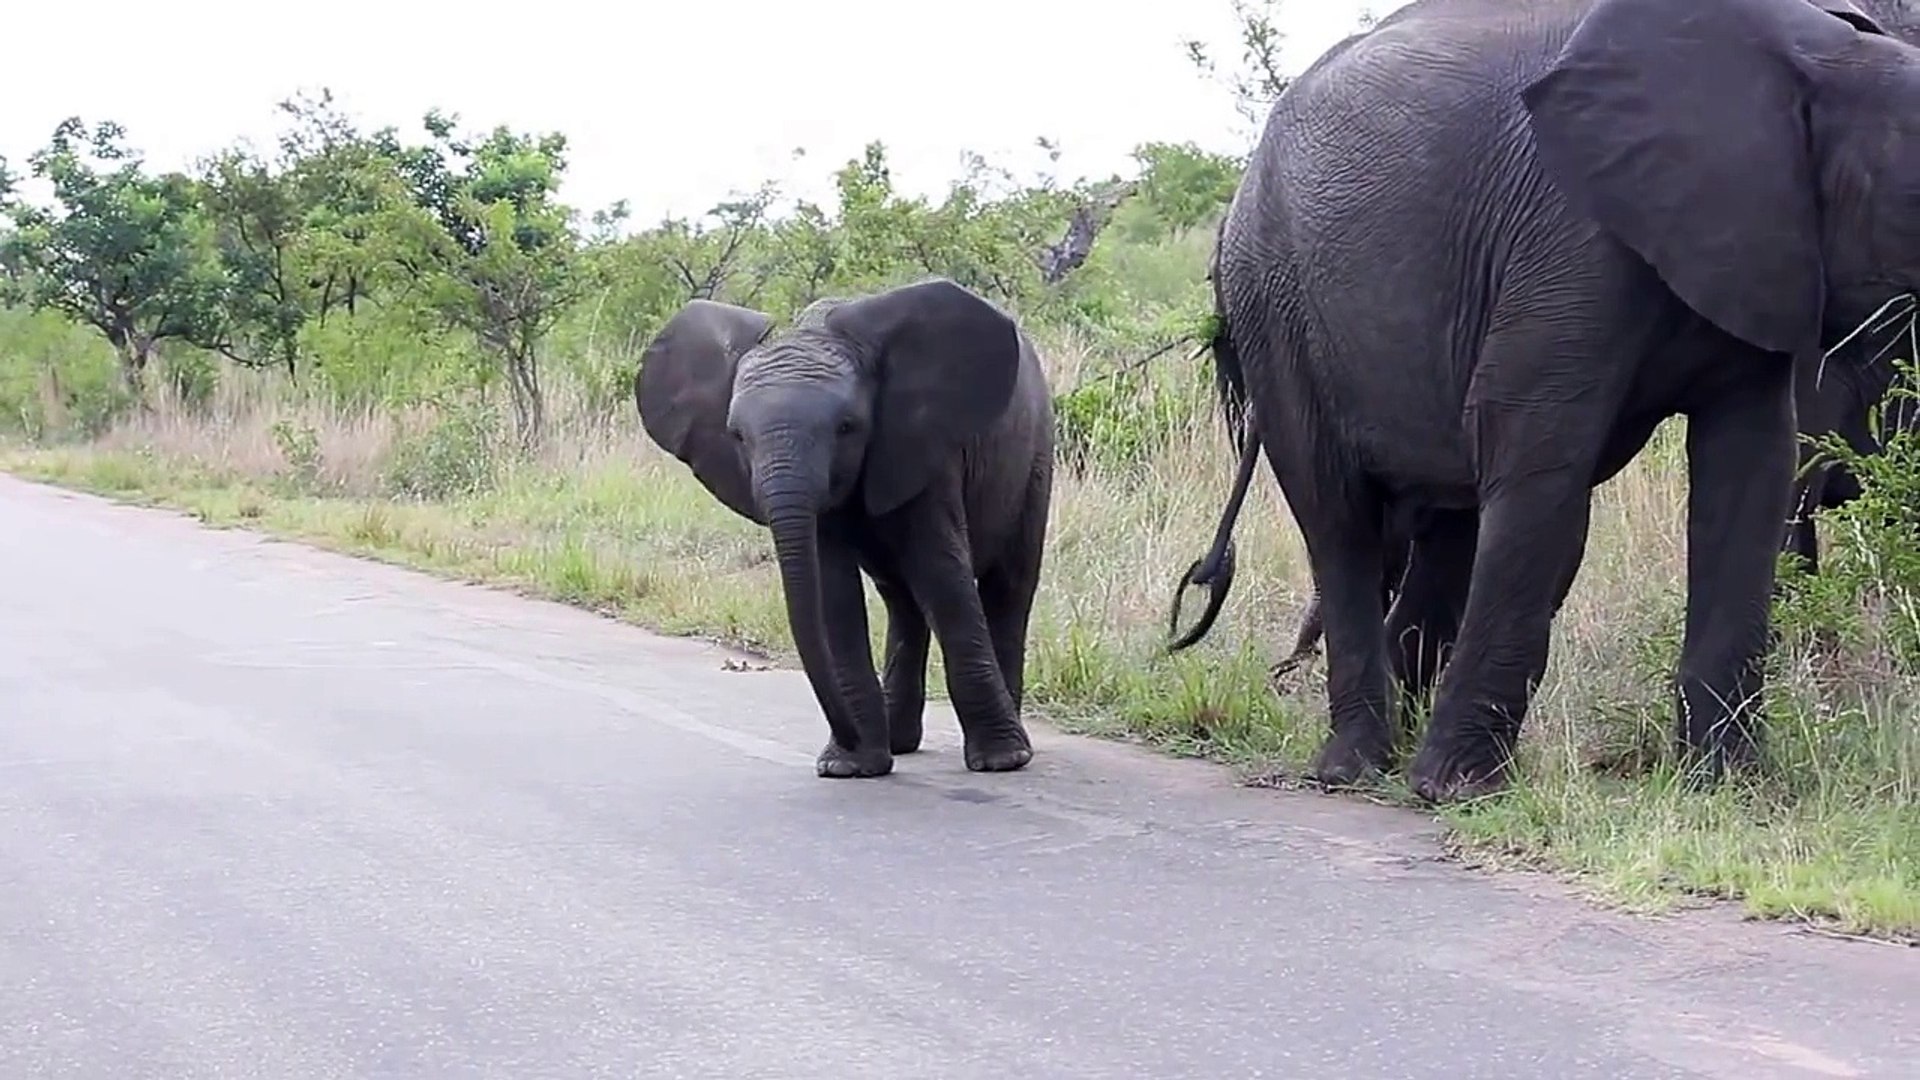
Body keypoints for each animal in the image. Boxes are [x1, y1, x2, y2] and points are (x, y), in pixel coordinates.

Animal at [635, 278, 1055, 779]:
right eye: (737, 435)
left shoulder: (924, 451)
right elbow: (831, 591)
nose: (846, 738)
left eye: (847, 427)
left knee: (1007, 587)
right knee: (903, 600)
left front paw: (1000, 761)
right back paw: (900, 742)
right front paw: (849, 767)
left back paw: (1009, 746)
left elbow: (942, 577)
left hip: (1035, 453)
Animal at [1162, 0, 1920, 803]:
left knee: (1449, 527)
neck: (1827, 56)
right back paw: (1357, 768)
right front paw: (1456, 792)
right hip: (1278, 307)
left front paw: (1732, 790)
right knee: (1341, 521)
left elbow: (1750, 479)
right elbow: (1540, 473)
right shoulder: (1570, 237)